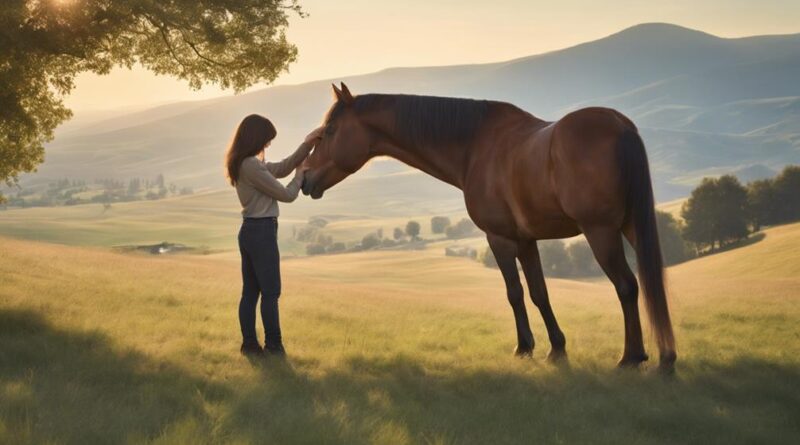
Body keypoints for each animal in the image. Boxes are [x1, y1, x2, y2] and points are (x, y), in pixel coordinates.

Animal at [304, 81, 680, 370]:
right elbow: (539, 293)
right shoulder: (526, 240)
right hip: (631, 227)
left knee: (627, 286)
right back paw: (666, 356)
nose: (305, 178)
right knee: (650, 283)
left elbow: (514, 293)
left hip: (600, 232)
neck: (475, 146)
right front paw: (556, 348)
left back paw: (632, 357)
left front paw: (524, 347)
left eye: (329, 132)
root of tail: (620, 126)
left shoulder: (498, 238)